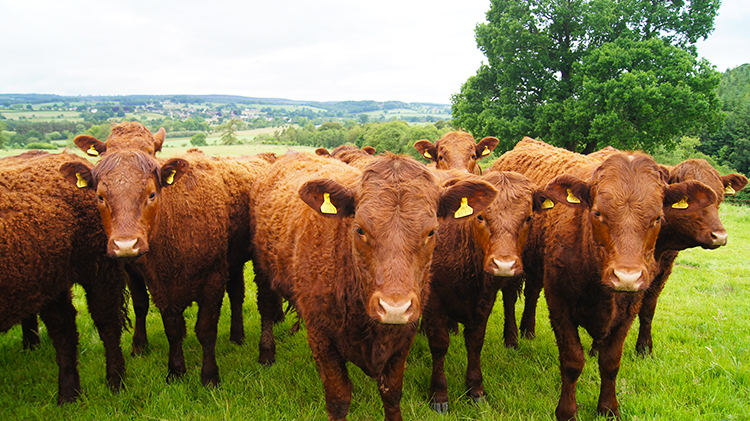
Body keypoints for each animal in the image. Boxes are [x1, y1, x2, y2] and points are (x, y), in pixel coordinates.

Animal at [0, 149, 128, 402]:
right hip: (52, 282)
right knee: (63, 329)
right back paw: (69, 394)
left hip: (98, 272)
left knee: (106, 323)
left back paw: (115, 383)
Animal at [251, 151, 500, 420]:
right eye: (360, 229)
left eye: (432, 232)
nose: (394, 308)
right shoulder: (321, 336)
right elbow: (338, 400)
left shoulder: (404, 336)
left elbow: (391, 393)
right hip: (261, 270)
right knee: (266, 308)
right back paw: (266, 353)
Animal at [424, 169, 548, 412]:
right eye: (480, 217)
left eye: (528, 218)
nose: (504, 265)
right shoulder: (433, 300)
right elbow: (440, 344)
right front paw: (439, 394)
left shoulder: (485, 300)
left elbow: (475, 342)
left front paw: (476, 389)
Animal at [494, 140, 716, 416]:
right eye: (598, 213)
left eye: (657, 217)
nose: (627, 277)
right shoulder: (560, 303)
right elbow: (572, 361)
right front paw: (567, 411)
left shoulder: (630, 309)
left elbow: (610, 362)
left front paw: (608, 408)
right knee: (511, 298)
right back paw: (513, 338)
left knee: (532, 293)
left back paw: (528, 331)